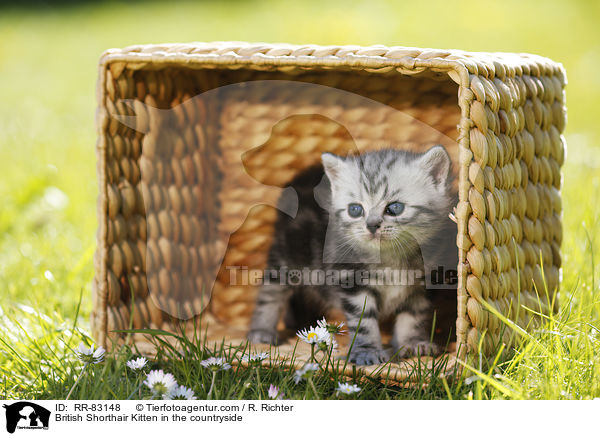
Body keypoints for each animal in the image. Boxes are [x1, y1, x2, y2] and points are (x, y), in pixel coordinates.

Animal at [246, 146, 458, 364]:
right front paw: (367, 351)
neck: (391, 258)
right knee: (271, 291)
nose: (372, 225)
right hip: (286, 255)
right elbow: (363, 320)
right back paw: (262, 331)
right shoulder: (352, 279)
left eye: (395, 208)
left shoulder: (424, 284)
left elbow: (414, 315)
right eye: (355, 210)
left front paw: (413, 343)